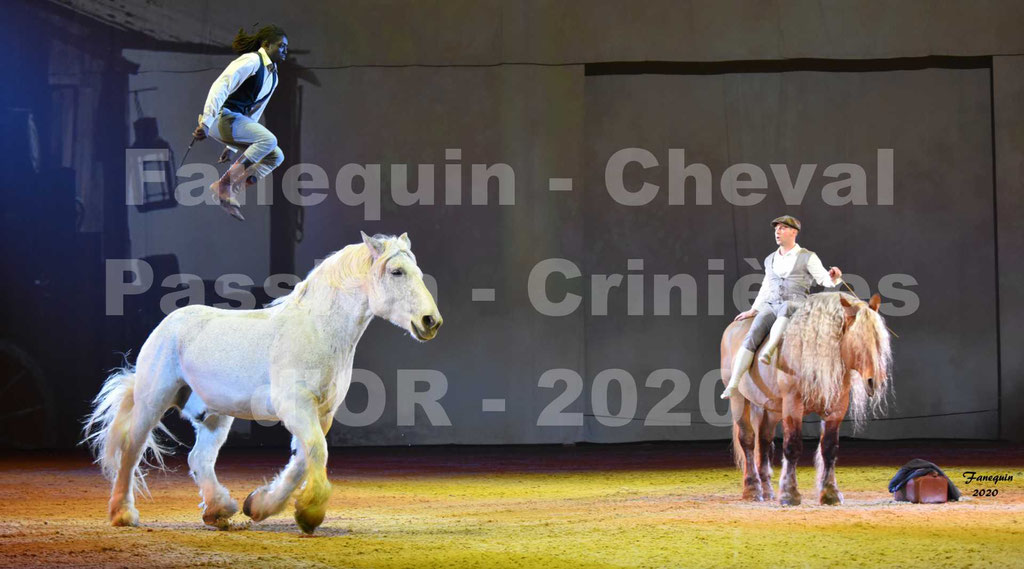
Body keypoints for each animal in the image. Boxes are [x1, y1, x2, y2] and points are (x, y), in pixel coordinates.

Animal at [81, 231, 442, 532]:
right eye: (397, 272)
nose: (431, 321)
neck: (318, 331)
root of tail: (168, 323)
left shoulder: (321, 413)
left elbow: (303, 459)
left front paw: (260, 506)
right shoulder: (295, 406)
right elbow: (316, 451)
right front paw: (309, 514)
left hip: (215, 416)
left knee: (199, 458)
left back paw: (219, 511)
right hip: (153, 400)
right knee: (132, 449)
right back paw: (123, 514)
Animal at [720, 292, 888, 507]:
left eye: (878, 340)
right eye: (858, 339)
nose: (874, 381)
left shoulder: (836, 408)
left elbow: (829, 448)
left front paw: (830, 493)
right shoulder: (793, 405)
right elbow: (792, 446)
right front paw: (789, 494)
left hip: (771, 409)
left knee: (764, 441)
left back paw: (766, 489)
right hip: (740, 401)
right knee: (748, 440)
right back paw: (752, 489)